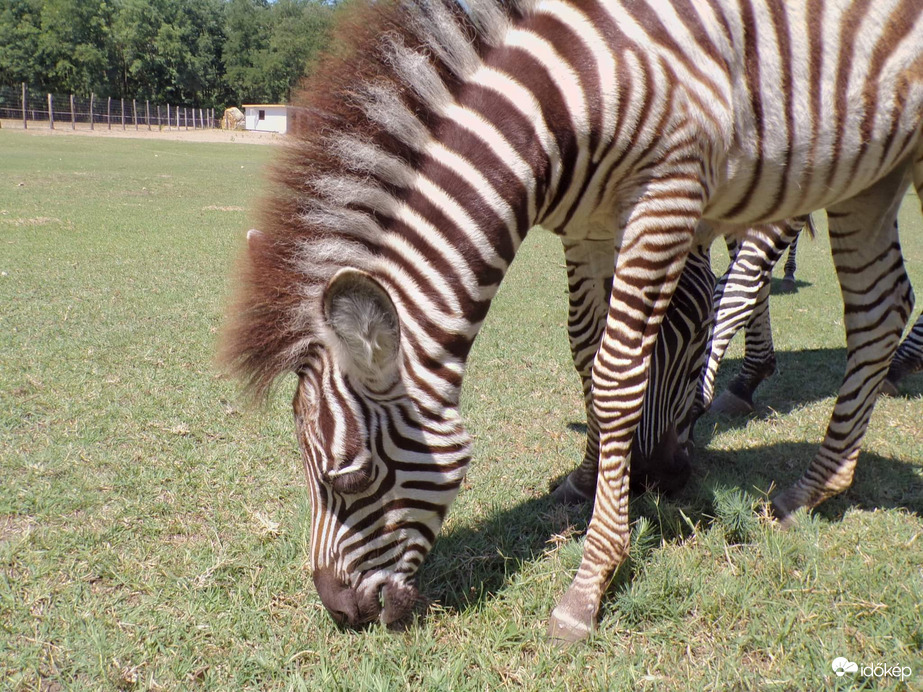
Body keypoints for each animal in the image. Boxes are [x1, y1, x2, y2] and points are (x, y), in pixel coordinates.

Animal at [222, 0, 923, 642]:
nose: (338, 611)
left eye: (357, 476)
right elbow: (587, 352)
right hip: (869, 176)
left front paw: (589, 583)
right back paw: (812, 486)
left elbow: (618, 376)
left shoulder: (669, 194)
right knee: (881, 309)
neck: (568, 94)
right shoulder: (589, 227)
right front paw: (589, 479)